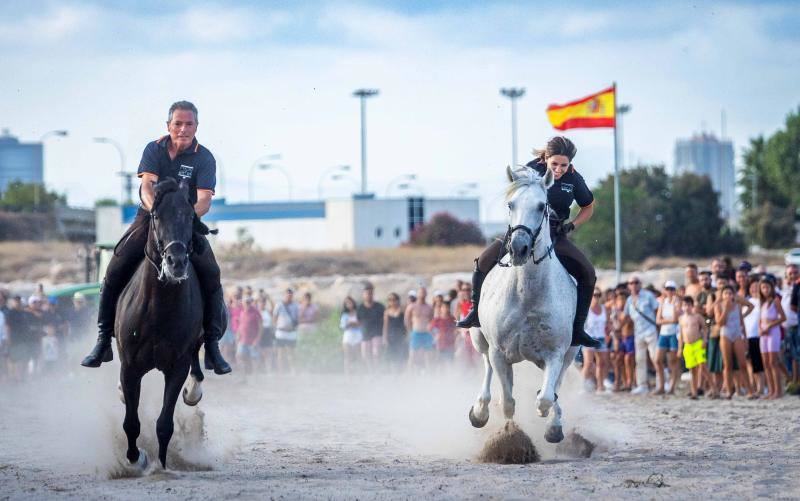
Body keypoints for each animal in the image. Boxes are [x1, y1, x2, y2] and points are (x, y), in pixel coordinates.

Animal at [117, 177, 209, 468]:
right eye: (156, 216)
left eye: (190, 216)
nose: (176, 262)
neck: (159, 306)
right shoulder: (130, 367)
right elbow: (131, 422)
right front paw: (136, 459)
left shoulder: (176, 367)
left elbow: (164, 424)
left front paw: (163, 465)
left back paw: (194, 390)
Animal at [466, 165, 580, 442]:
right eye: (511, 204)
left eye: (541, 206)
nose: (519, 248)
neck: (527, 294)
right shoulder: (499, 352)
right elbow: (508, 402)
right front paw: (508, 435)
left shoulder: (555, 353)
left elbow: (547, 397)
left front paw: (550, 422)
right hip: (479, 337)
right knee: (486, 368)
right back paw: (480, 411)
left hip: (571, 352)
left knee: (556, 385)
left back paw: (554, 422)